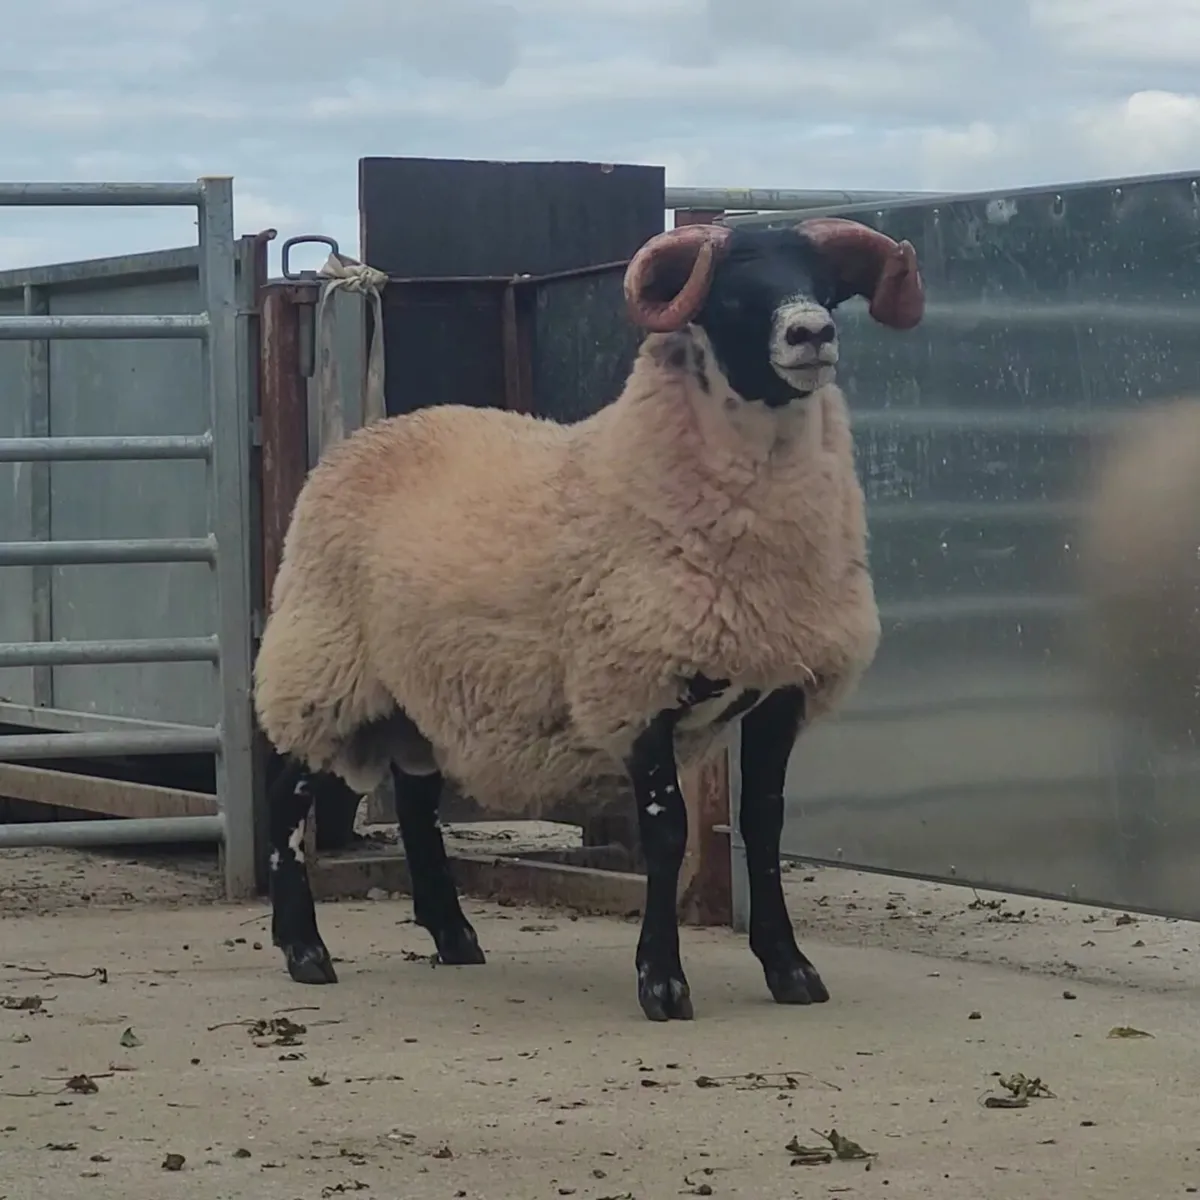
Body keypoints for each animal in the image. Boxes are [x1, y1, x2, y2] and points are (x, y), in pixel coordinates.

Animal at [255, 215, 926, 1021]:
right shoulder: (636, 687)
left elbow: (765, 829)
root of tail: (369, 435)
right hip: (323, 661)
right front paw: (661, 981)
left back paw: (453, 935)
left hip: (426, 684)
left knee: (414, 801)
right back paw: (303, 949)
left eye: (826, 287)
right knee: (288, 794)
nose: (811, 333)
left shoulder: (781, 687)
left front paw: (789, 969)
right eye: (733, 291)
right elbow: (668, 835)